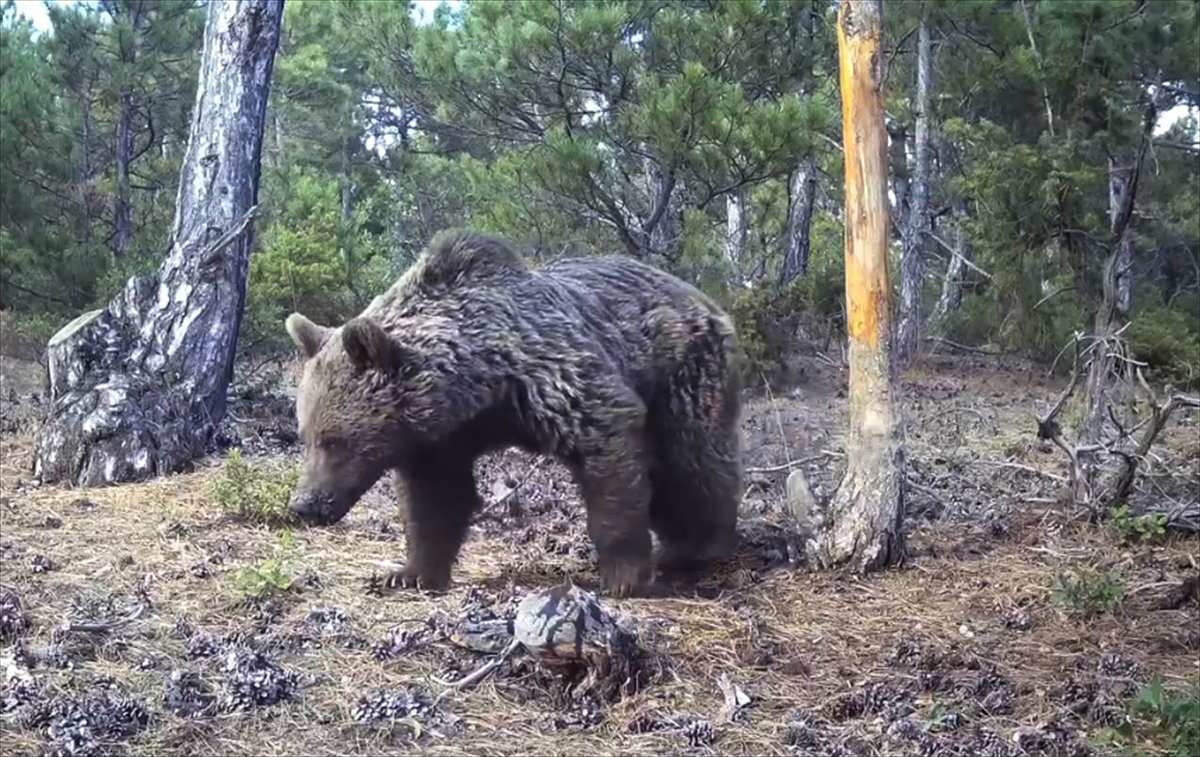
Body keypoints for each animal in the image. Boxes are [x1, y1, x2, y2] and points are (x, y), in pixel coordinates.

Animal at [285, 227, 744, 595]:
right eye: (304, 436)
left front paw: (624, 577)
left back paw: (697, 546)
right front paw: (409, 573)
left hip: (683, 372)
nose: (303, 505)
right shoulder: (437, 441)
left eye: (334, 441)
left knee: (692, 460)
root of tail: (702, 296)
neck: (482, 386)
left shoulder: (557, 380)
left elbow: (609, 452)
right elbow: (435, 501)